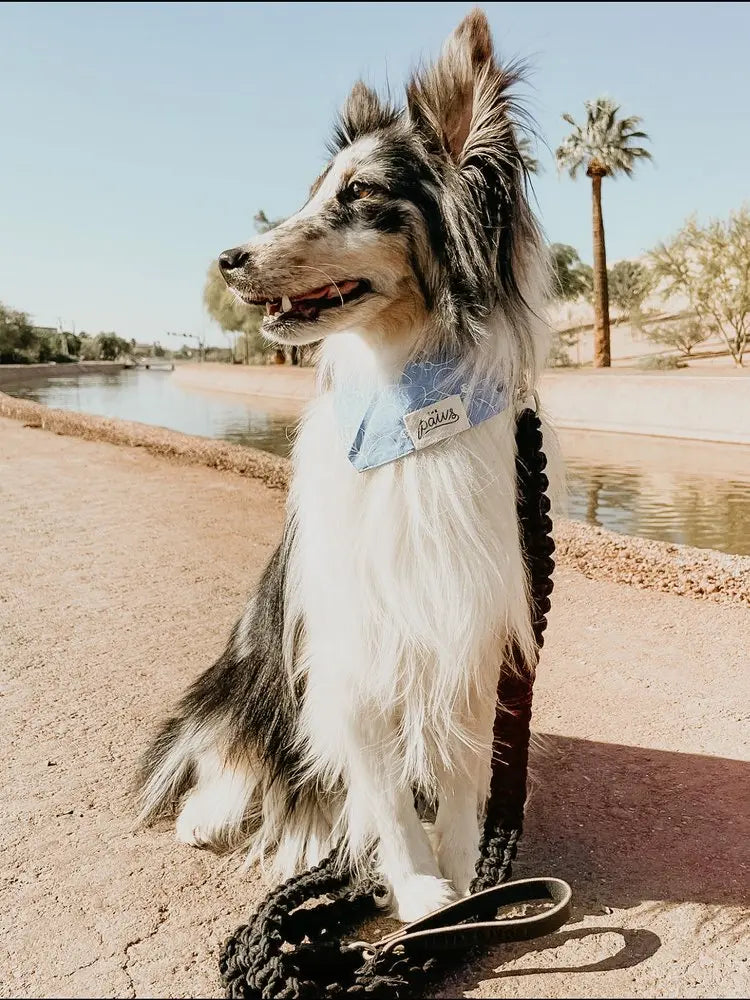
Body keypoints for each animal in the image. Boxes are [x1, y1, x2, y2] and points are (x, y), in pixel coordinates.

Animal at [138, 11, 556, 924]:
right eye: (310, 192)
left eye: (360, 194)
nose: (228, 258)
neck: (404, 401)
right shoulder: (352, 643)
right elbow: (387, 794)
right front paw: (424, 894)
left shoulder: (465, 629)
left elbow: (463, 776)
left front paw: (466, 886)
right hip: (246, 672)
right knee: (228, 750)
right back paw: (210, 813)